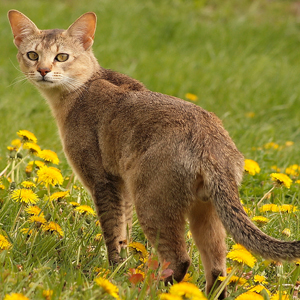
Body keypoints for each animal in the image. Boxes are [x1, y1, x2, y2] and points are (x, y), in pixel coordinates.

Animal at [8, 9, 300, 298]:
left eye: (62, 57)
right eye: (32, 55)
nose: (43, 70)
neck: (81, 90)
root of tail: (209, 141)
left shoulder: (102, 181)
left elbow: (112, 231)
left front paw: (114, 272)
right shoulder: (121, 185)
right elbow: (123, 231)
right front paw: (122, 270)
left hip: (152, 202)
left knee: (180, 259)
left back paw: (157, 289)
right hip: (205, 211)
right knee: (218, 269)